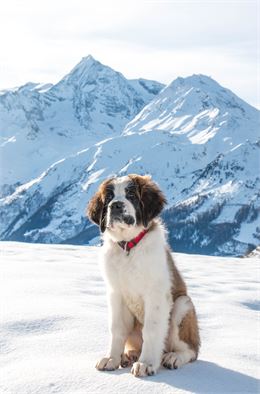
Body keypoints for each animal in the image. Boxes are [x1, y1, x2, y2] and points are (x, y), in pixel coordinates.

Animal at [86, 174, 200, 378]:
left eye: (131, 195)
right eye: (108, 198)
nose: (116, 205)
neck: (129, 247)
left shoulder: (156, 295)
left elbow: (151, 329)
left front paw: (146, 363)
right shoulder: (116, 294)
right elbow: (117, 328)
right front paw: (112, 358)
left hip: (183, 305)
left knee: (191, 350)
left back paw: (173, 357)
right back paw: (128, 355)